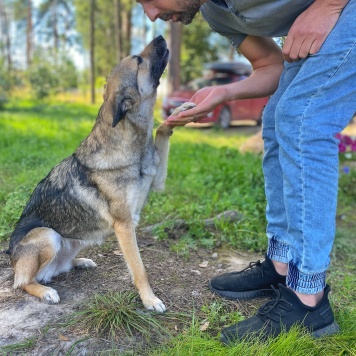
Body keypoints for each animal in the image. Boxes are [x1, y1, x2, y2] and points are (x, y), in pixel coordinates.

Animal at [7, 36, 192, 312]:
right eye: (138, 60)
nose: (160, 37)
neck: (130, 140)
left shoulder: (156, 180)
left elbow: (162, 129)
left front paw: (179, 114)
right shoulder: (125, 226)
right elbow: (140, 270)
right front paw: (149, 300)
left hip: (79, 239)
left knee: (56, 268)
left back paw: (79, 262)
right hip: (48, 235)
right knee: (24, 282)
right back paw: (46, 291)